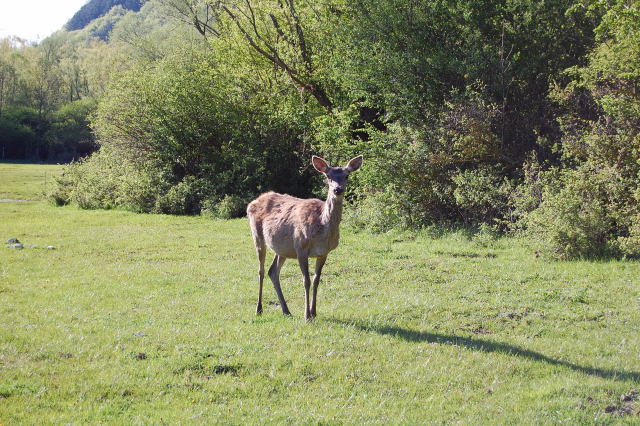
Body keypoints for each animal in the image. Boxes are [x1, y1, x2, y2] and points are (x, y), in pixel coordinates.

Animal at [246, 155, 362, 322]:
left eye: (347, 175)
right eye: (328, 176)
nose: (337, 189)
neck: (322, 230)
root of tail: (252, 202)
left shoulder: (324, 252)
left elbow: (316, 280)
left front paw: (314, 312)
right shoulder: (301, 246)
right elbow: (306, 281)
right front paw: (307, 315)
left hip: (283, 248)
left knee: (272, 271)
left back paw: (286, 310)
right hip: (257, 235)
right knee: (261, 270)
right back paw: (259, 309)